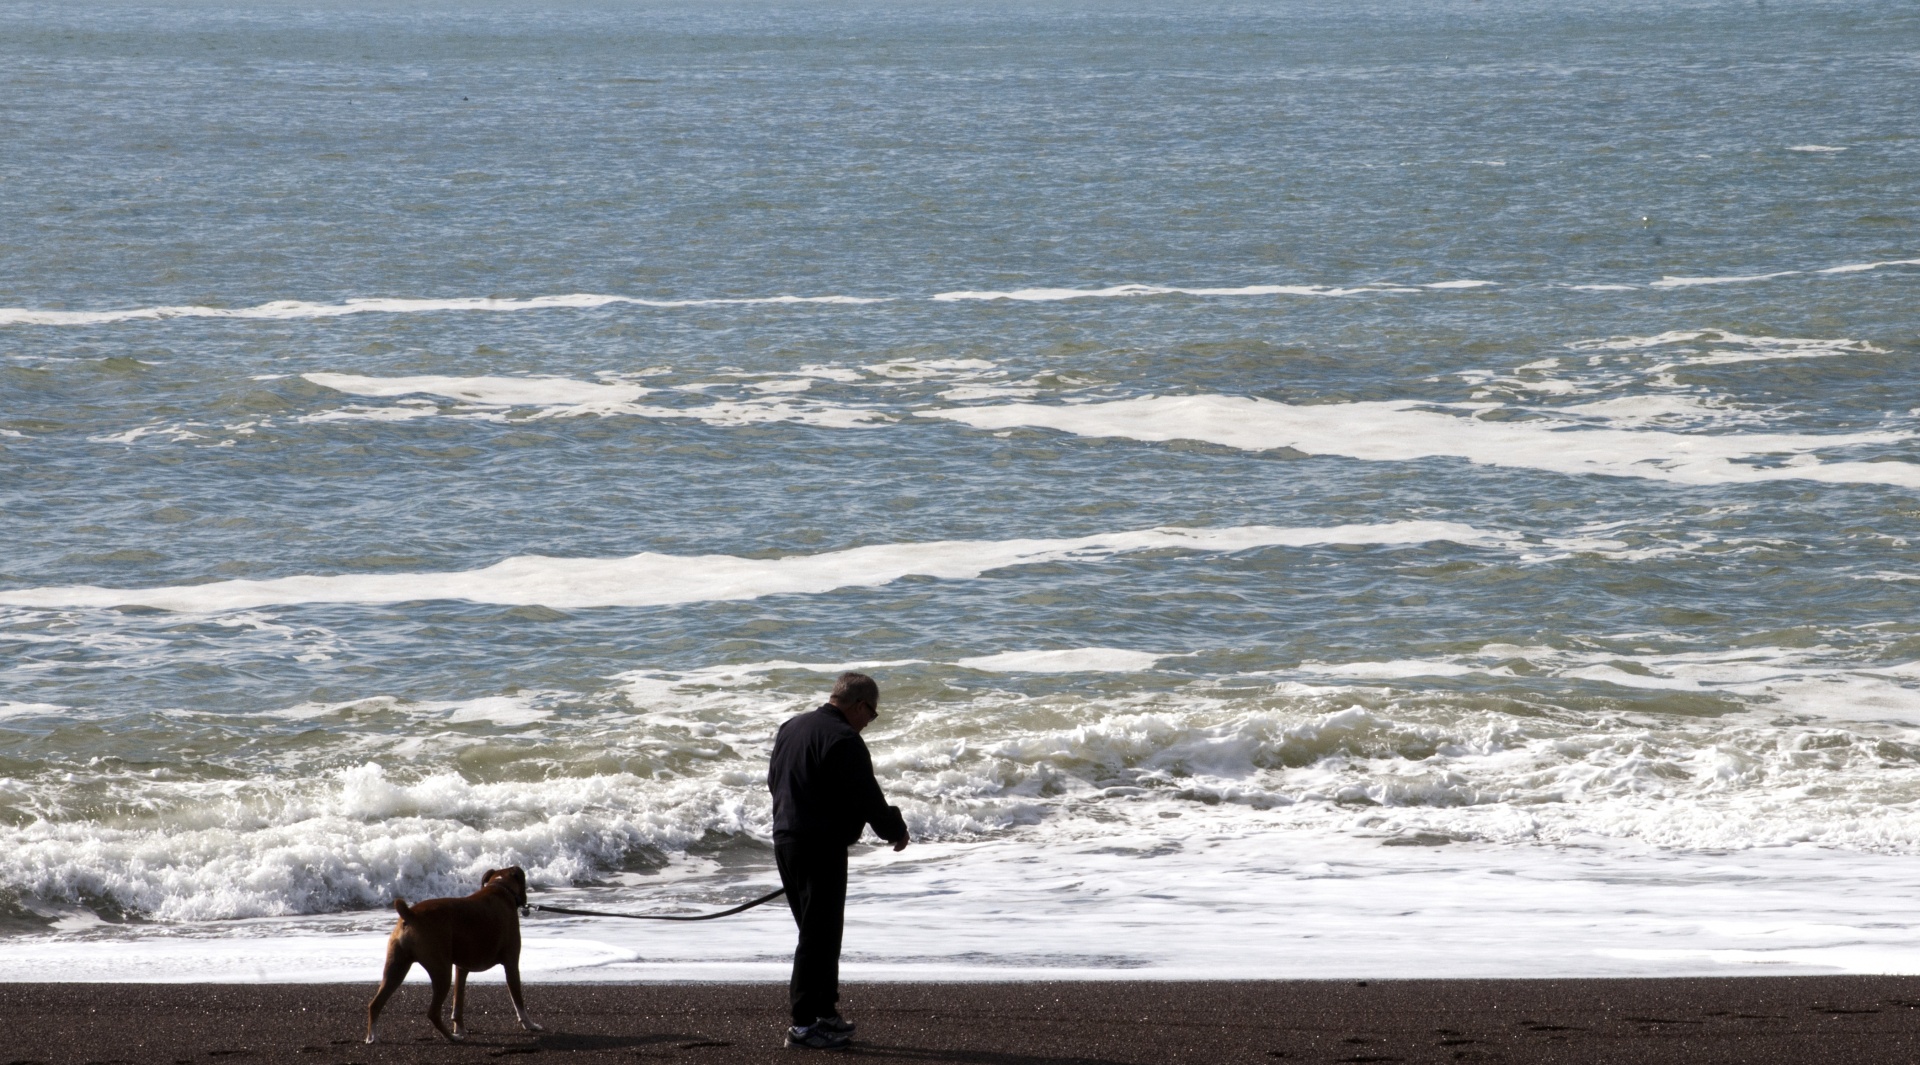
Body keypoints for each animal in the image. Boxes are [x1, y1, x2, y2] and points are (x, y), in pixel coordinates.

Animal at [362, 867, 545, 1043]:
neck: (500, 886)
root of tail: (410, 914)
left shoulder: (461, 969)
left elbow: (458, 1003)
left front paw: (460, 1028)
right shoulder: (511, 965)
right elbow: (518, 1001)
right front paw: (530, 1024)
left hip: (396, 968)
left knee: (375, 1004)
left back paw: (372, 1037)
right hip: (441, 971)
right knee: (433, 1012)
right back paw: (451, 1037)